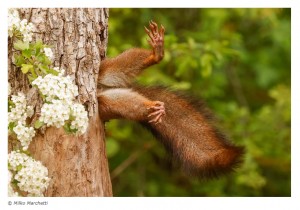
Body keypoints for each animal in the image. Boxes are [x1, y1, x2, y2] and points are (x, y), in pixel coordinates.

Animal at [97, 20, 243, 179]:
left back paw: (156, 54)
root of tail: (101, 89)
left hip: (104, 70)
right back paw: (153, 107)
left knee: (120, 66)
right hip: (106, 103)